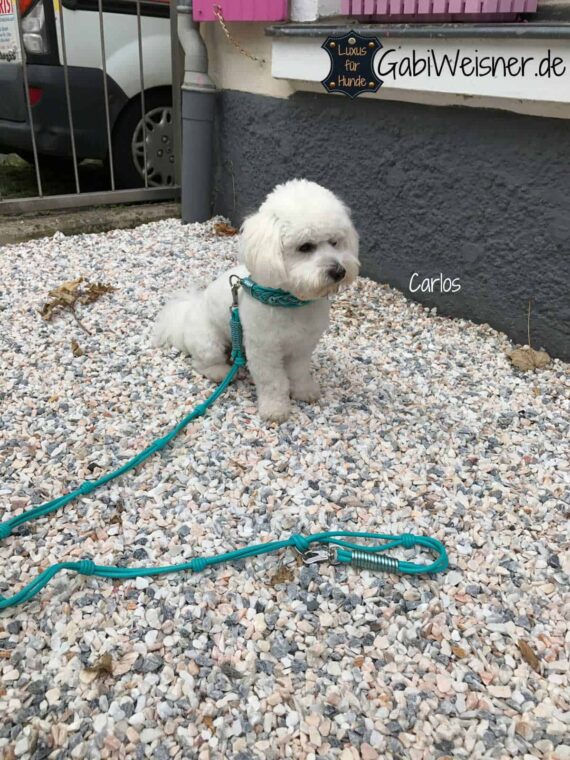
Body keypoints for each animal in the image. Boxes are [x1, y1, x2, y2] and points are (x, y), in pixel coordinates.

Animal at [151, 181, 356, 424]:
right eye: (305, 247)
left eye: (335, 242)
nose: (339, 271)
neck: (288, 301)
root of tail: (187, 312)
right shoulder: (264, 350)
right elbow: (273, 382)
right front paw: (275, 409)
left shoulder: (302, 346)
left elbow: (299, 372)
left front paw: (304, 391)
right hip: (209, 342)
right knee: (201, 363)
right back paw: (221, 372)